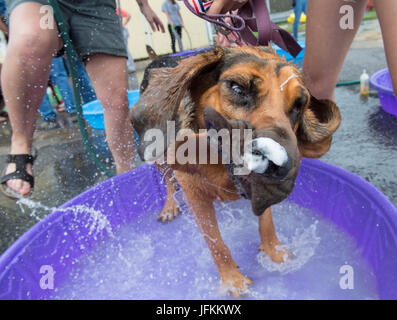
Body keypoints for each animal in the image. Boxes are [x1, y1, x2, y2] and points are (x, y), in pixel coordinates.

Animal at [131, 45, 340, 298]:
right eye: (237, 88)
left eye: (299, 105)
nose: (279, 165)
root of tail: (157, 58)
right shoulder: (195, 196)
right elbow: (216, 243)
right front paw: (233, 280)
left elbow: (266, 222)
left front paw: (274, 252)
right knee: (168, 182)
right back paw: (170, 206)